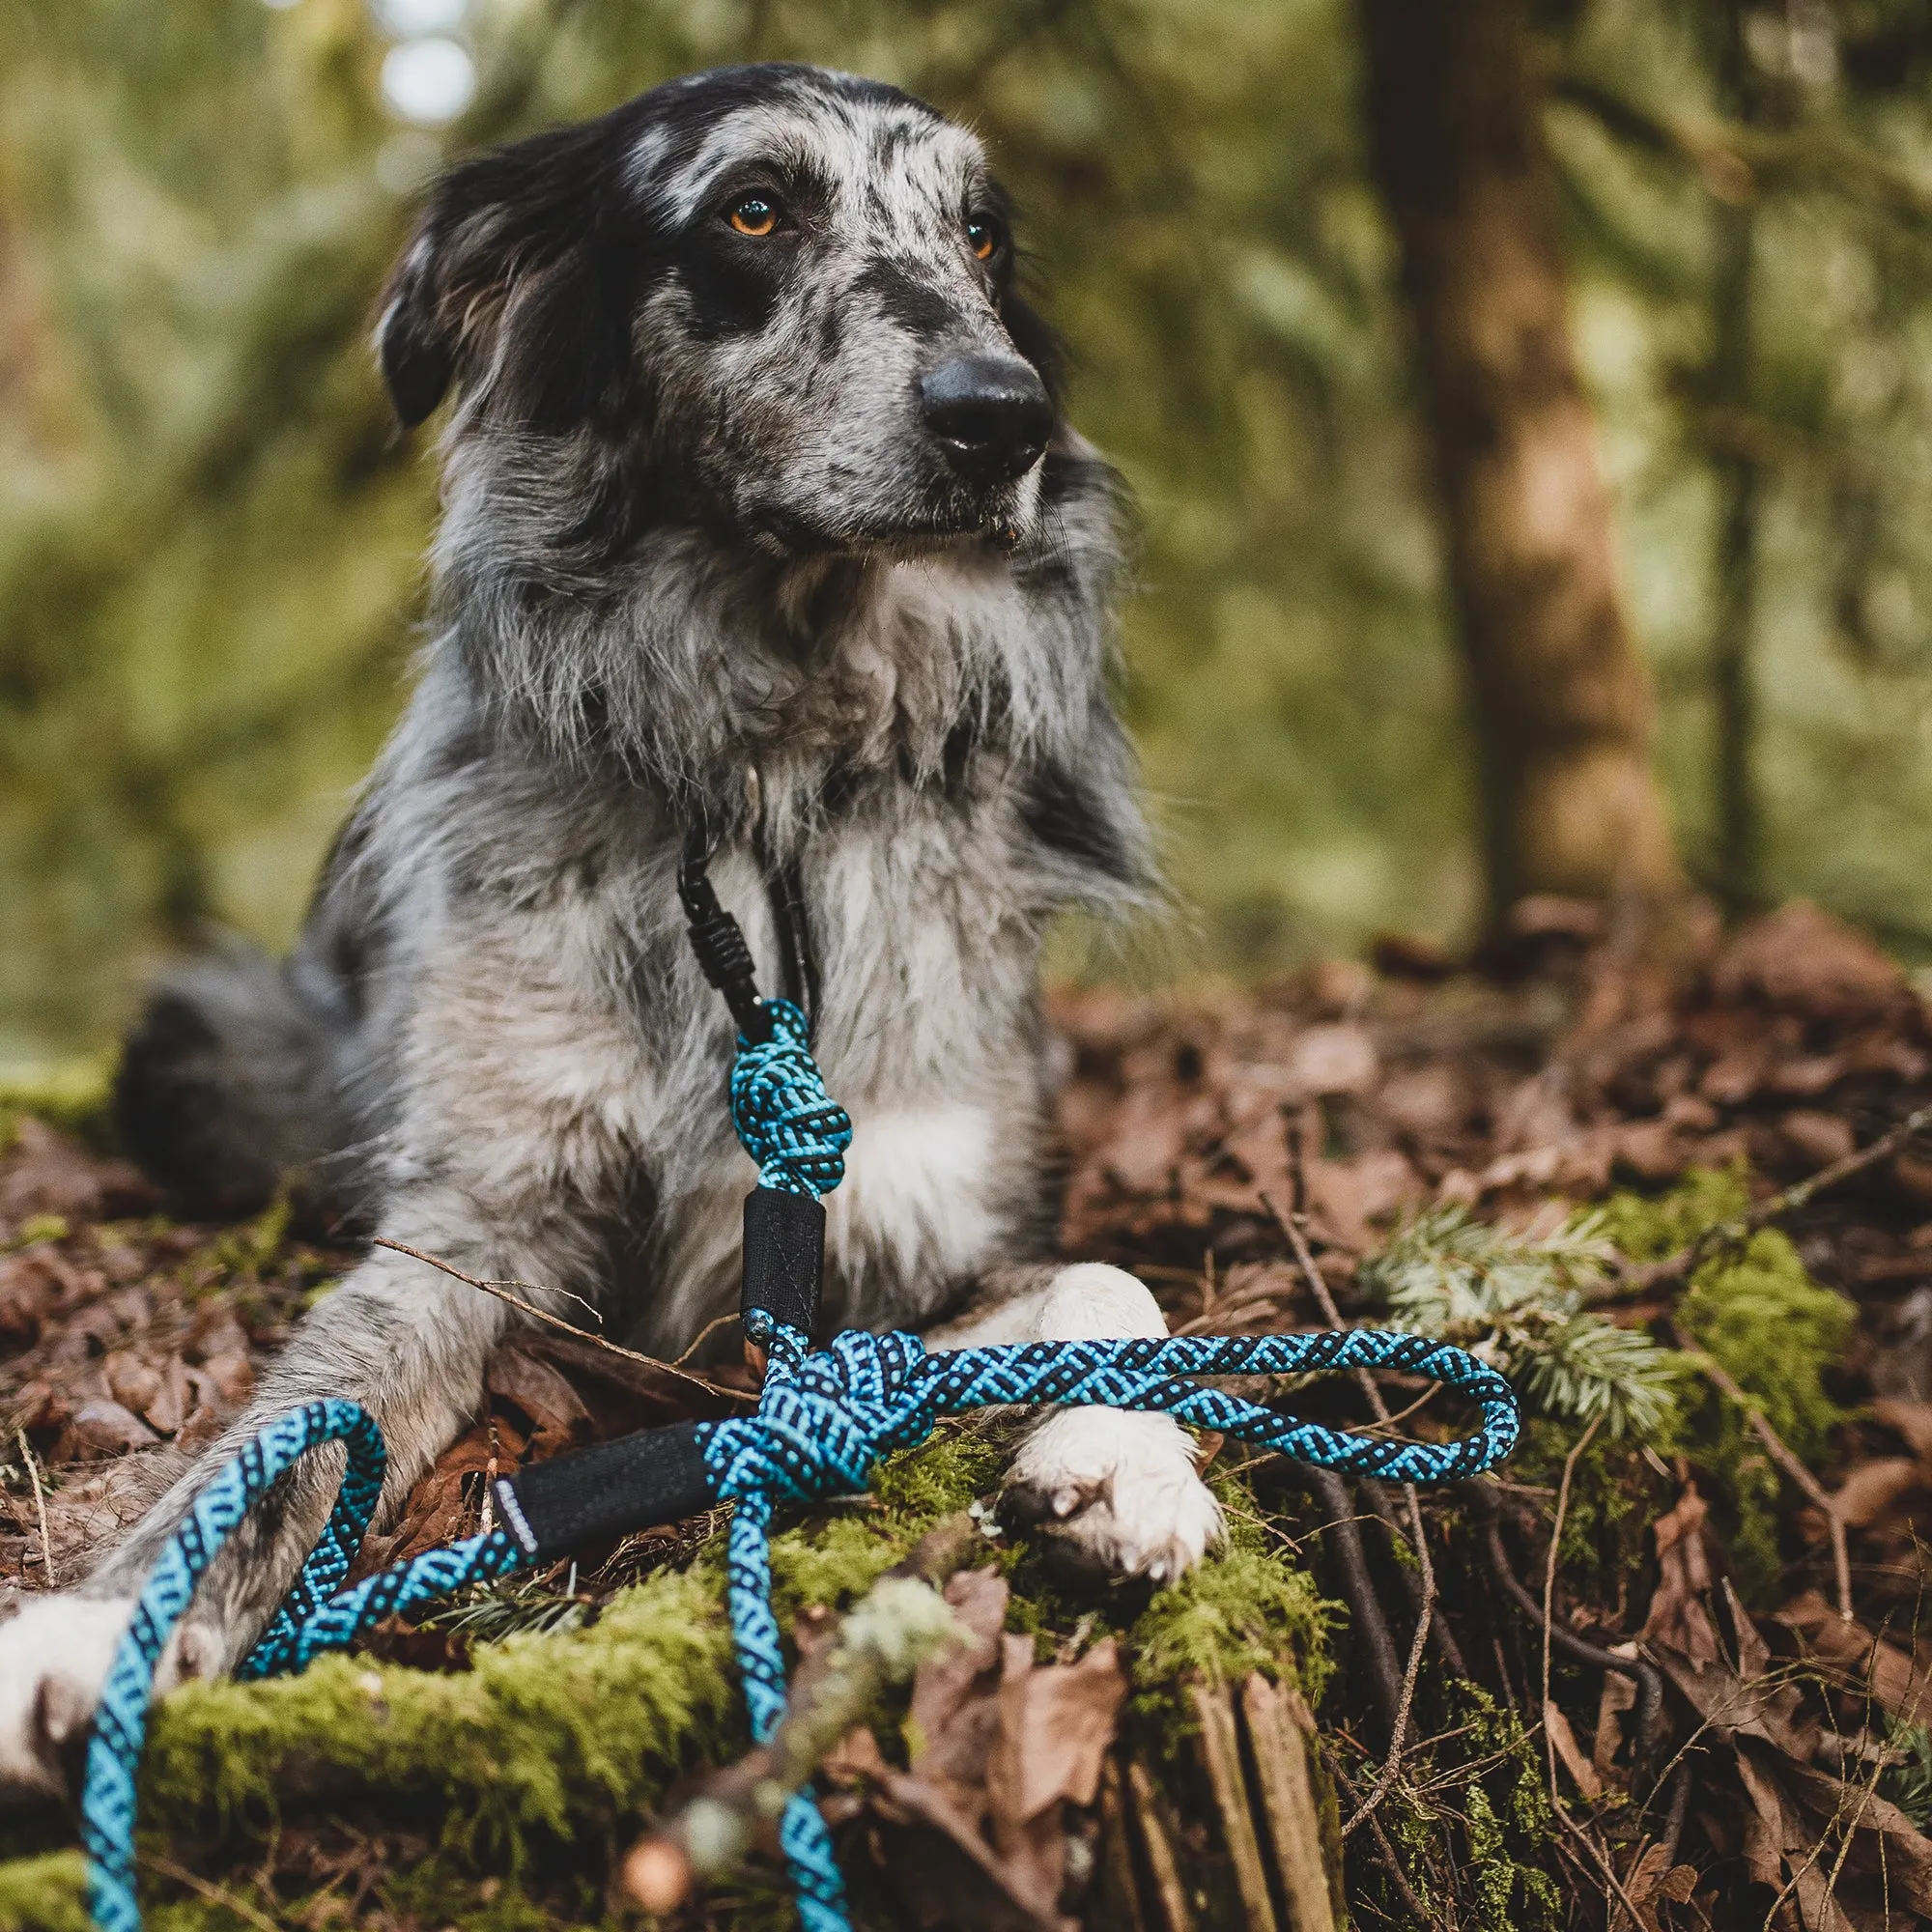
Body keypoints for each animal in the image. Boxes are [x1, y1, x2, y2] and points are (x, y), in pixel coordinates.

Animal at [0, 64, 1221, 1808]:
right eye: (754, 211)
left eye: (983, 232)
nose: (1006, 416)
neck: (767, 756)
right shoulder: (473, 1230)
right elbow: (285, 1426)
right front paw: (95, 1628)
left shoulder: (898, 1232)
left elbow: (1111, 1280)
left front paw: (1123, 1459)